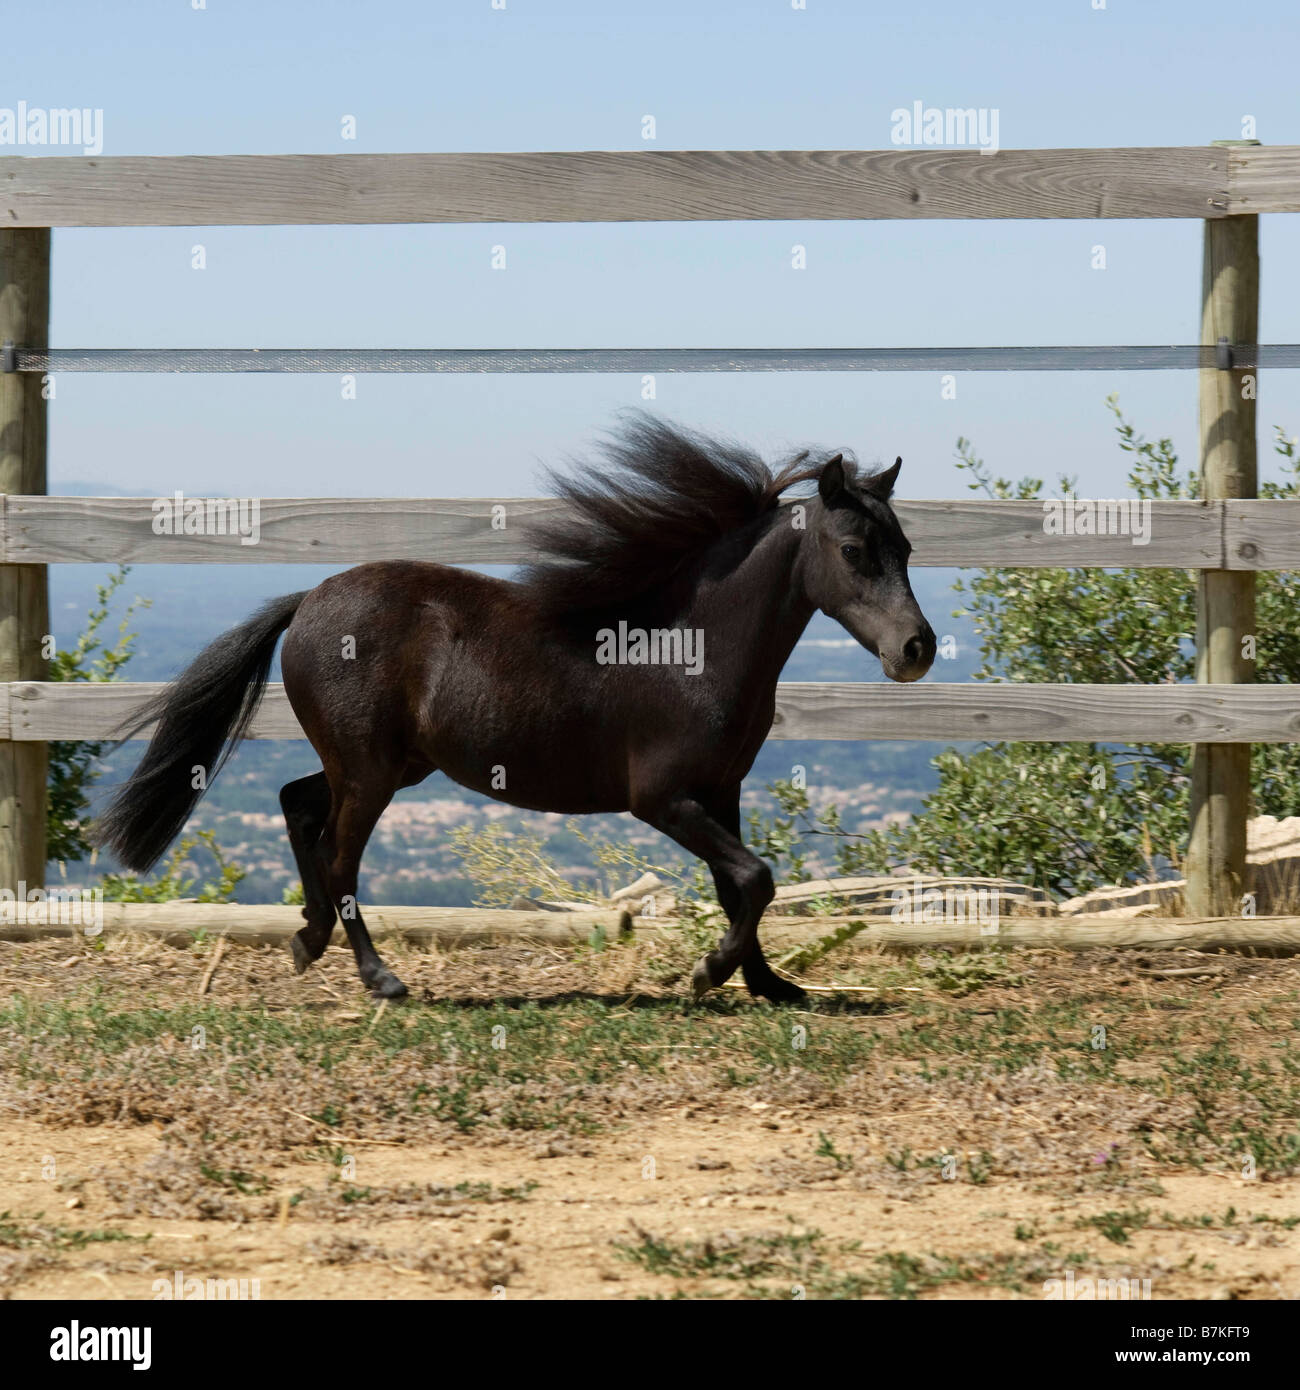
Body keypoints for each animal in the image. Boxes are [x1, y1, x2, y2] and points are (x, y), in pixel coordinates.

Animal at [96, 416, 935, 1003]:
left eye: (906, 548)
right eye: (855, 550)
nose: (916, 649)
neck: (690, 649)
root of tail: (307, 601)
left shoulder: (721, 791)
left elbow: (743, 884)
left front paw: (769, 985)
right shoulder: (664, 799)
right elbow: (756, 880)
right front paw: (709, 974)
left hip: (386, 764)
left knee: (298, 804)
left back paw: (307, 941)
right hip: (370, 772)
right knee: (338, 851)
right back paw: (379, 977)